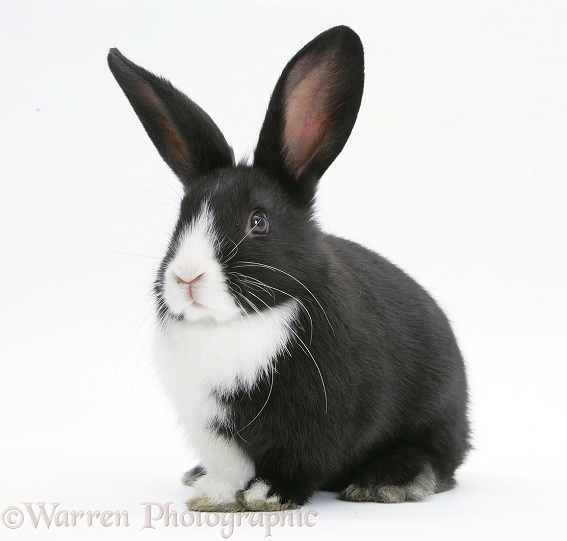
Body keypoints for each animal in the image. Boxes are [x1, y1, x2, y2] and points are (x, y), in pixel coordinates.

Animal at [107, 25, 470, 512]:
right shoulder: (213, 425)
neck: (237, 324)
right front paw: (214, 495)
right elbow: (229, 465)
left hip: (435, 420)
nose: (186, 278)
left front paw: (268, 495)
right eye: (181, 219)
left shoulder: (322, 420)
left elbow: (302, 462)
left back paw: (386, 482)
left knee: (437, 460)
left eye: (258, 222)